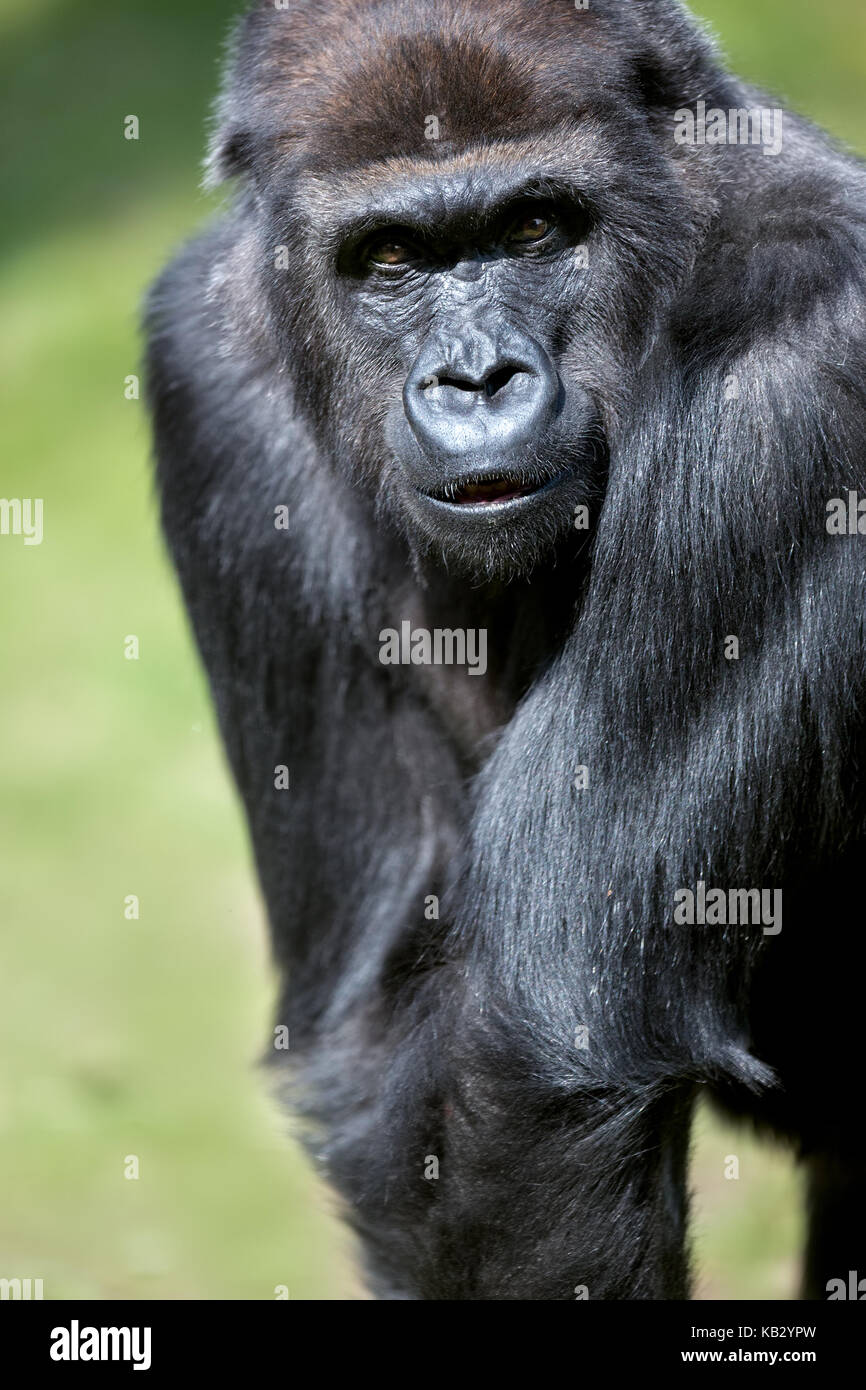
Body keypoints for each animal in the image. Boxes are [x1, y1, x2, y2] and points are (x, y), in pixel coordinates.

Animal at [147, 2, 866, 1301]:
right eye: (388, 257)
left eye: (533, 227)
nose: (475, 379)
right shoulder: (206, 372)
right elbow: (386, 1024)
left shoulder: (805, 372)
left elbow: (542, 1040)